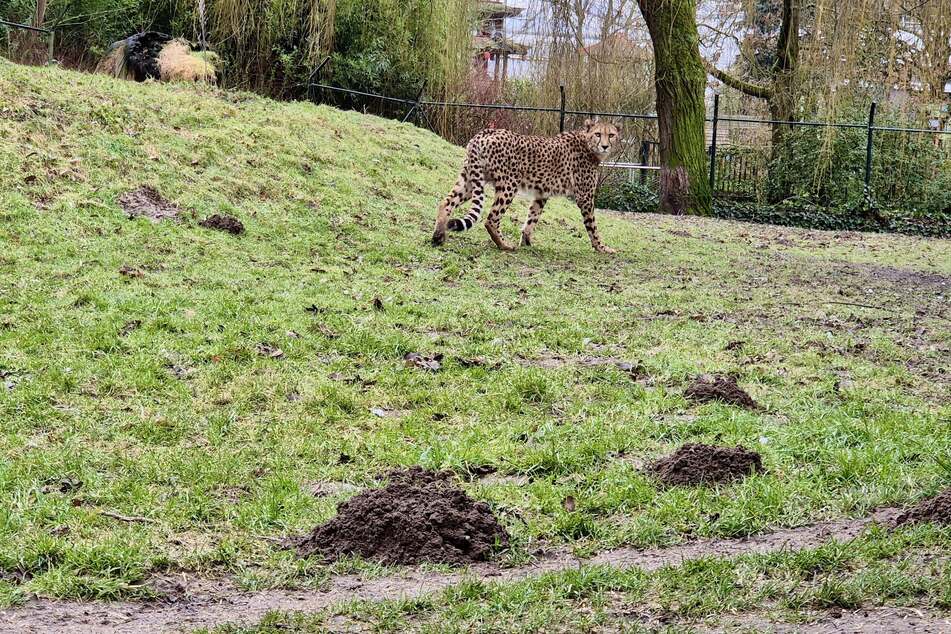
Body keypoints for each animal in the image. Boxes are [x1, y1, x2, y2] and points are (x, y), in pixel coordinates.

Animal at [434, 119, 624, 253]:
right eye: (598, 134)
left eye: (611, 135)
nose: (605, 146)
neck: (587, 144)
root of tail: (486, 132)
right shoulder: (585, 197)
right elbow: (592, 226)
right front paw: (601, 247)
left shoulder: (541, 194)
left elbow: (532, 218)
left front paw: (526, 242)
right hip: (508, 185)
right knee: (491, 219)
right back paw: (504, 245)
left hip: (471, 180)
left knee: (446, 203)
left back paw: (438, 236)